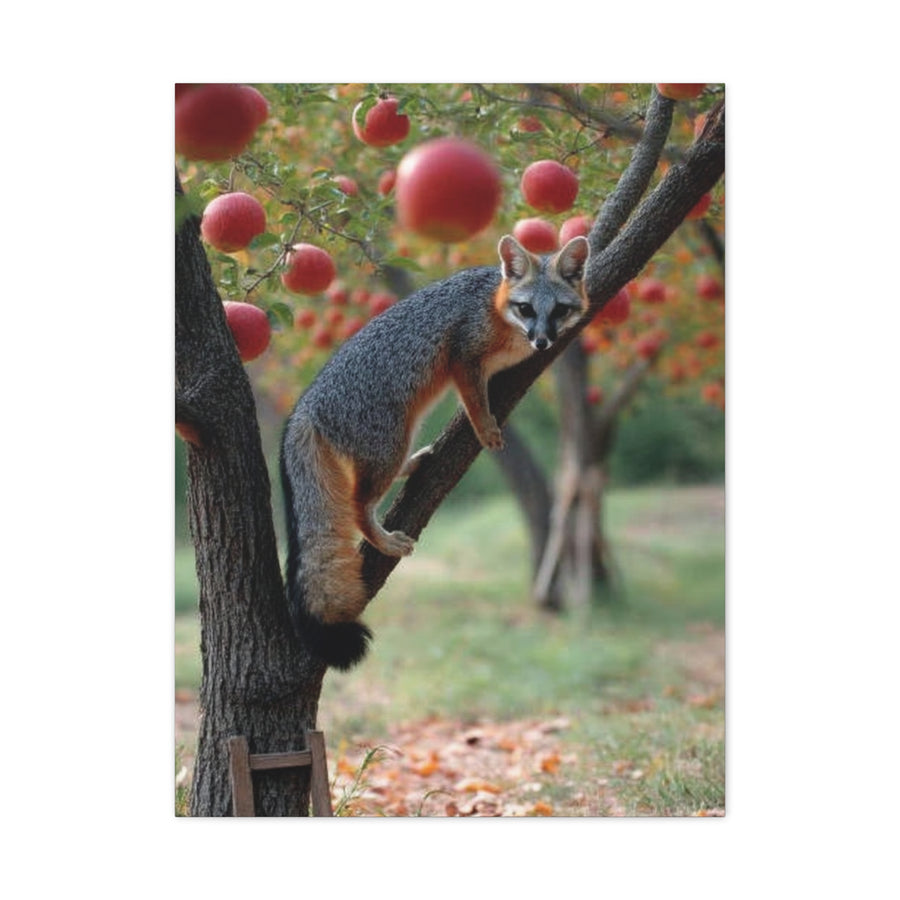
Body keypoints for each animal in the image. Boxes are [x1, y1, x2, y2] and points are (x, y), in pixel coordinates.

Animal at [280, 233, 590, 670]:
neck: (495, 306)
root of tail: (305, 405)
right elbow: (475, 402)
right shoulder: (462, 356)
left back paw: (417, 464)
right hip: (390, 442)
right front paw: (486, 428)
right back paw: (384, 540)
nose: (542, 340)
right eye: (526, 309)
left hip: (398, 440)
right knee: (358, 505)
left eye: (559, 310)